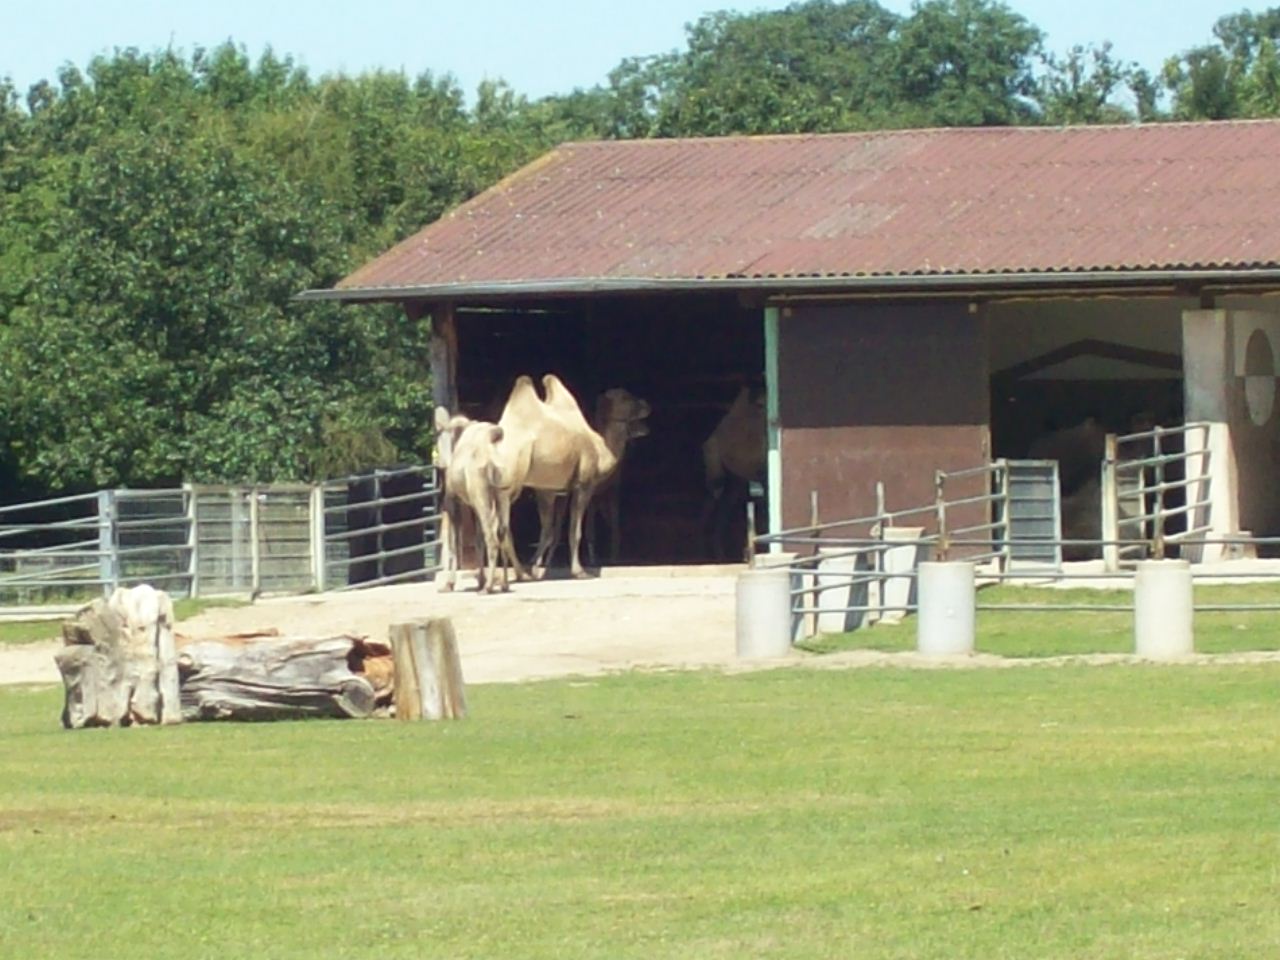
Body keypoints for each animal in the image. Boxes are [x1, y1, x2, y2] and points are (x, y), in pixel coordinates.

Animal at [433, 407, 519, 593]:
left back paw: (488, 588)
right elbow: (477, 540)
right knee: (502, 532)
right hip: (502, 496)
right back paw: (504, 585)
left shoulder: (454, 501)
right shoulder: (471, 504)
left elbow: (454, 543)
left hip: (480, 494)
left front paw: (449, 584)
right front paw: (479, 579)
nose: (440, 465)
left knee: (491, 536)